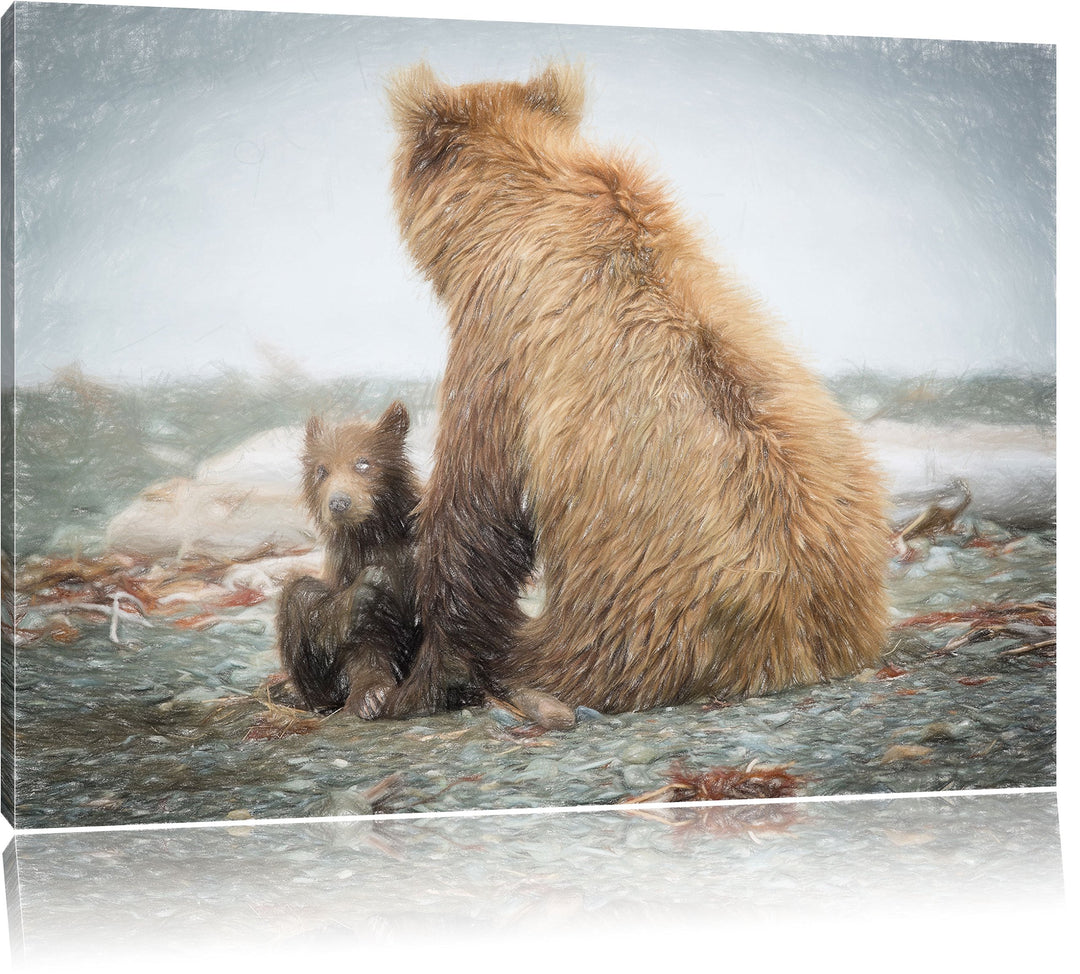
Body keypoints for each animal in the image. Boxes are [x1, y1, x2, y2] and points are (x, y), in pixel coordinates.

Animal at [276, 401, 422, 718]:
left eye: (363, 462)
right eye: (322, 470)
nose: (339, 502)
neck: (375, 535)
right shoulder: (347, 567)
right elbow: (362, 640)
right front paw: (371, 695)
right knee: (300, 594)